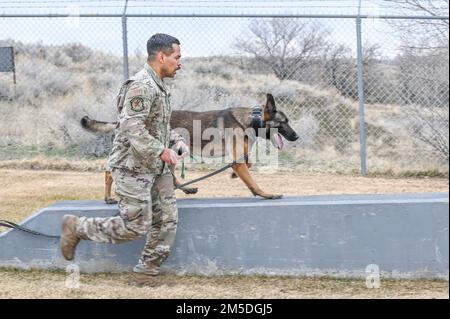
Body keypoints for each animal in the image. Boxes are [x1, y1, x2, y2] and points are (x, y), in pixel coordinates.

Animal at [81, 93, 298, 202]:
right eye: (284, 122)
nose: (297, 136)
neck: (252, 120)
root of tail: (121, 120)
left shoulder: (238, 157)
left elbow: (248, 163)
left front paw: (233, 175)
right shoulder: (237, 159)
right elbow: (252, 180)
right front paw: (266, 194)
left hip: (173, 152)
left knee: (171, 175)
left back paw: (186, 189)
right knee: (109, 172)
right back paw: (108, 197)